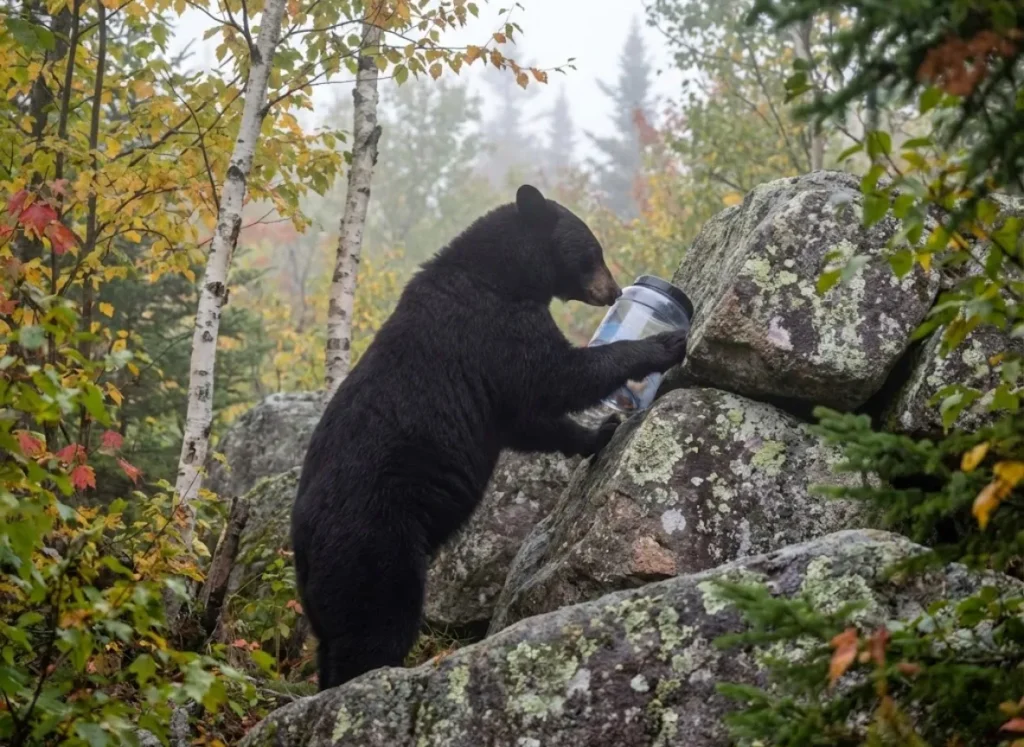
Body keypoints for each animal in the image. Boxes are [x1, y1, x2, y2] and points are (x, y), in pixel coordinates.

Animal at [291, 184, 689, 690]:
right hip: (373, 545)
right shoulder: (493, 327)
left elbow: (526, 419)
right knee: (378, 626)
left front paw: (598, 433)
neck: (502, 274)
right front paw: (662, 345)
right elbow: (556, 376)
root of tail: (301, 544)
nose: (615, 291)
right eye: (593, 251)